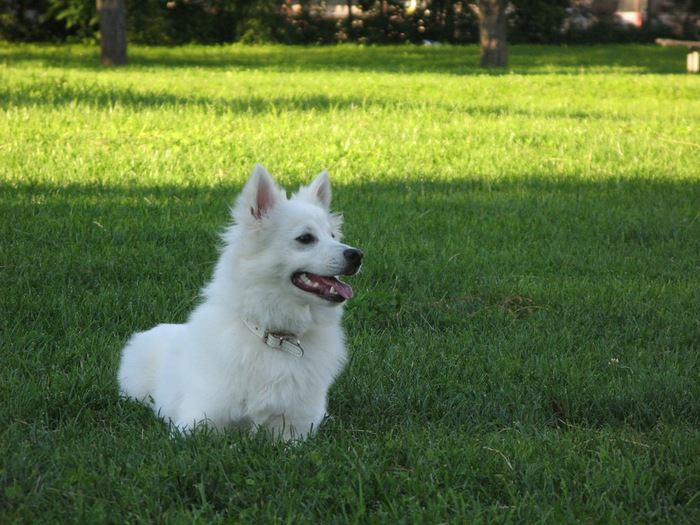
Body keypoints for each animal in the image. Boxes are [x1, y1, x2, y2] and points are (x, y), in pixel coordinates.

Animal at [116, 164, 360, 438]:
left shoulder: (297, 429)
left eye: (333, 235)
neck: (274, 337)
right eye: (305, 238)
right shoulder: (196, 422)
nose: (357, 255)